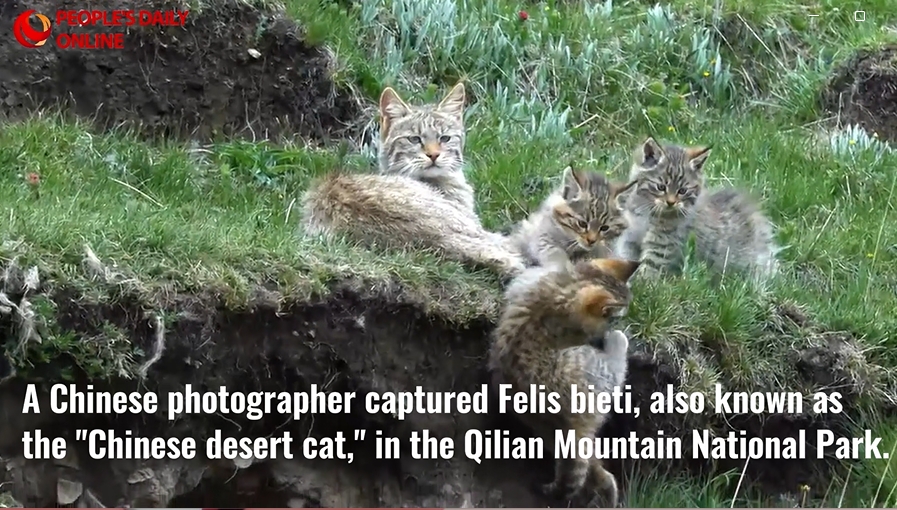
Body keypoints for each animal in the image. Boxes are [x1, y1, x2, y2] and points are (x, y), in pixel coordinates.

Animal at [486, 258, 640, 506]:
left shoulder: (528, 281)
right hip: (597, 372)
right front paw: (615, 334)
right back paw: (618, 341)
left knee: (592, 469)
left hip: (546, 430)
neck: (569, 285)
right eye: (614, 318)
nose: (616, 326)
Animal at [616, 138, 776, 282]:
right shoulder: (629, 238)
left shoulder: (663, 244)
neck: (647, 211)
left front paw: (643, 284)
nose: (671, 202)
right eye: (661, 187)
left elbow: (650, 266)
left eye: (682, 191)